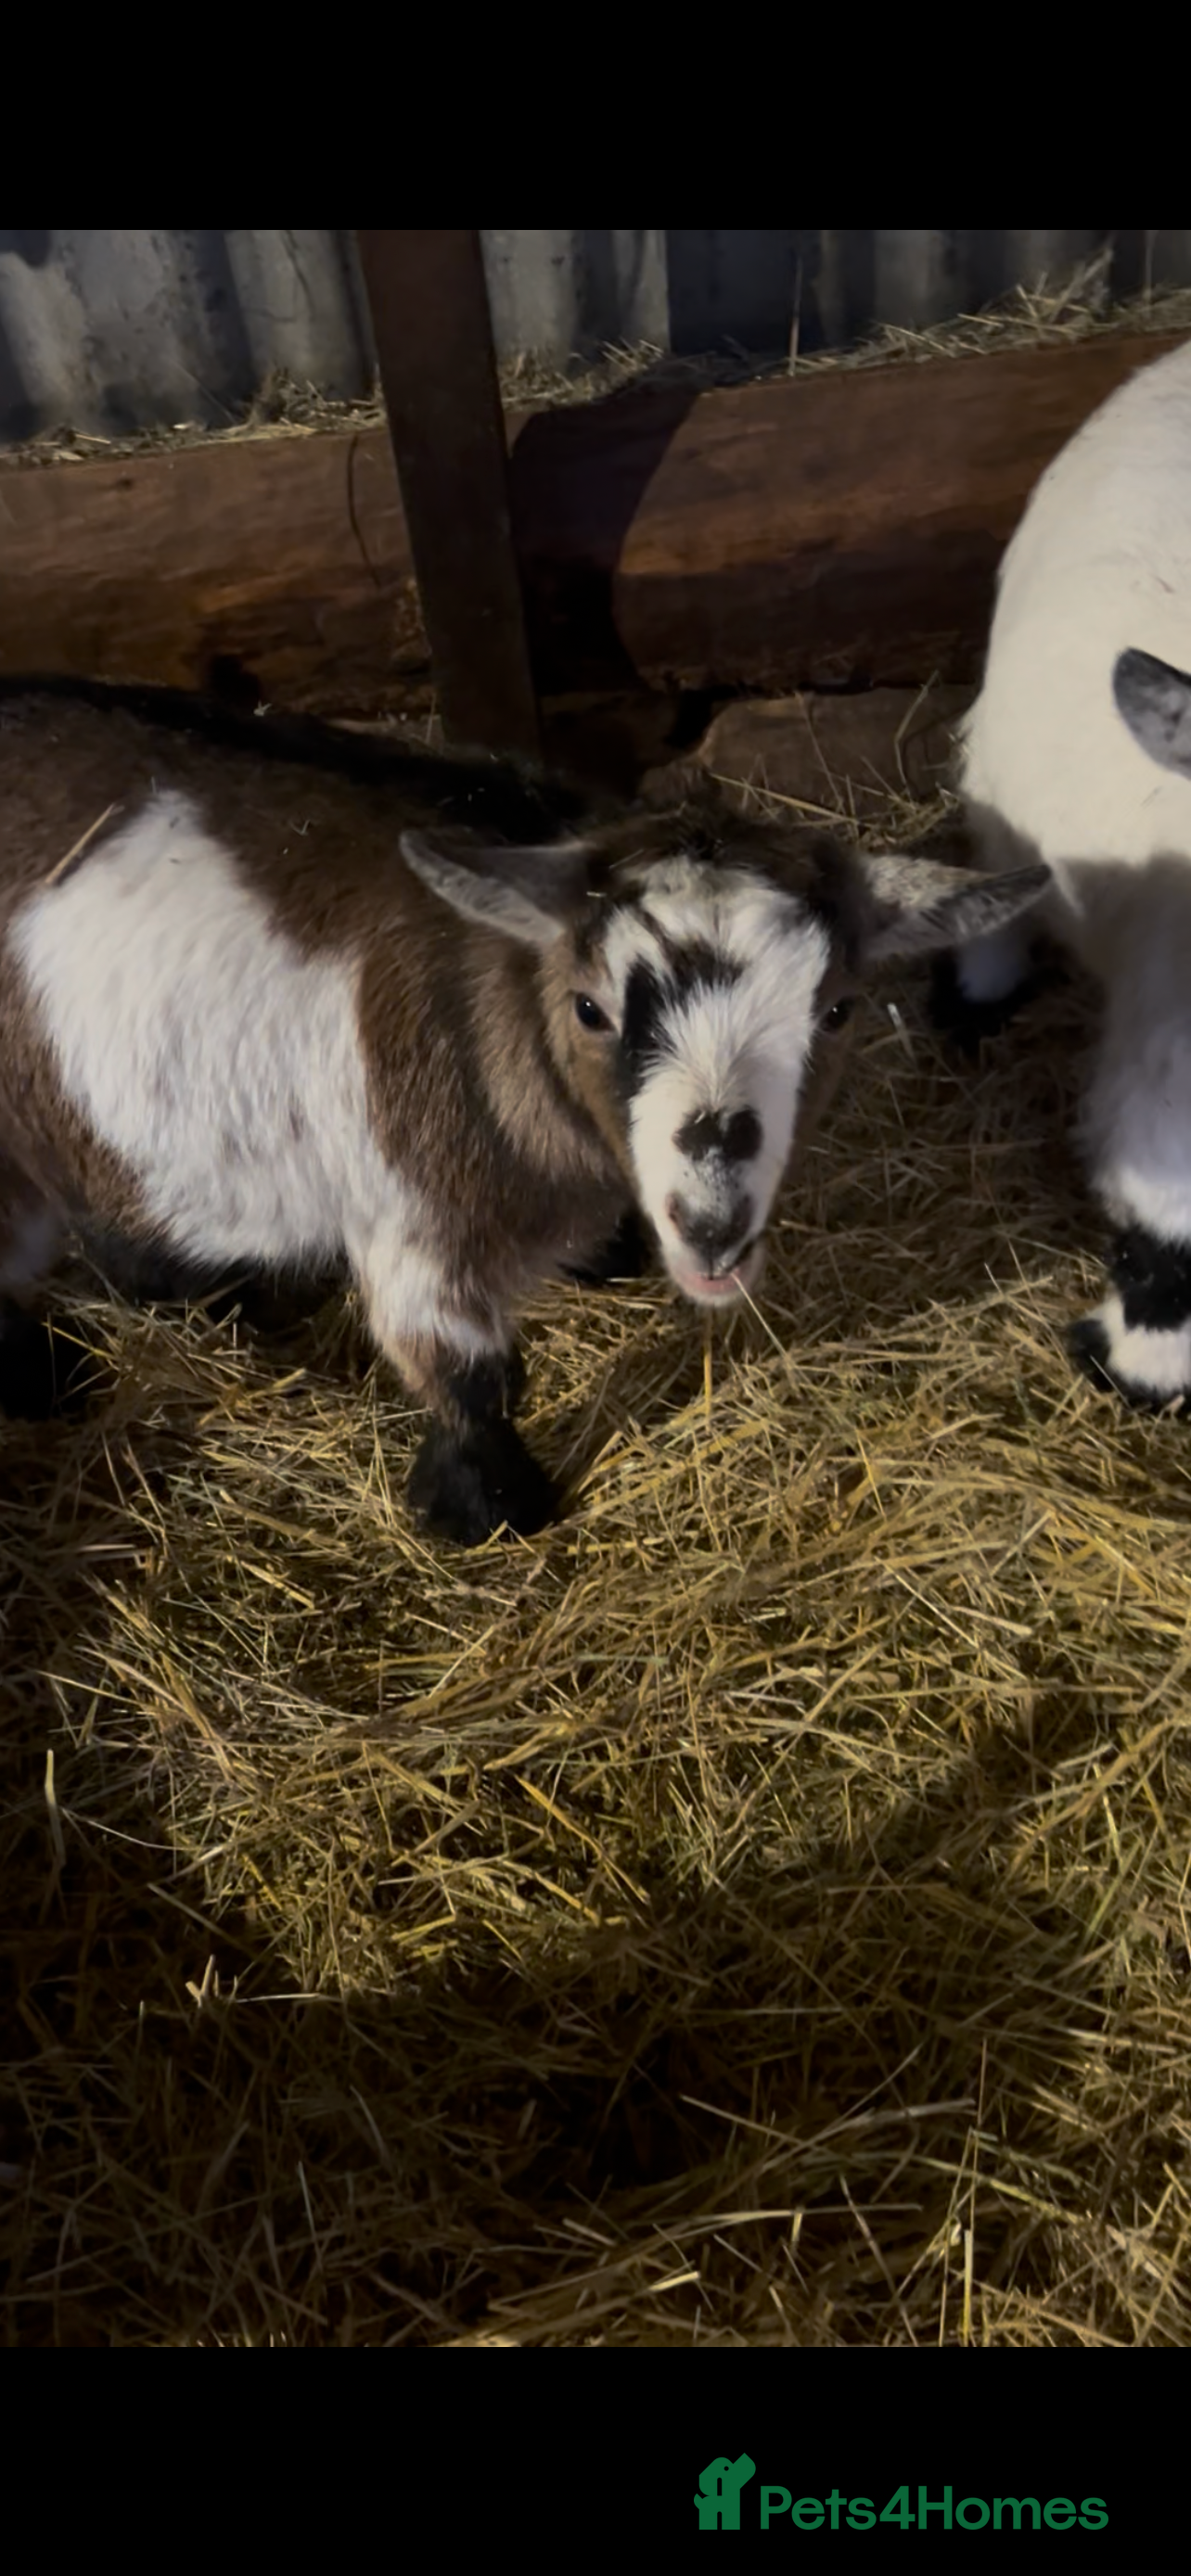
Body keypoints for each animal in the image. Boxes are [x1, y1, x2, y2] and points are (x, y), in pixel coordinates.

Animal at [0, 685, 1044, 1542]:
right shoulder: (418, 1225)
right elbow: (471, 1376)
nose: (710, 1225)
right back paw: (49, 1380)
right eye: (588, 1007)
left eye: (836, 1010)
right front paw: (492, 1509)